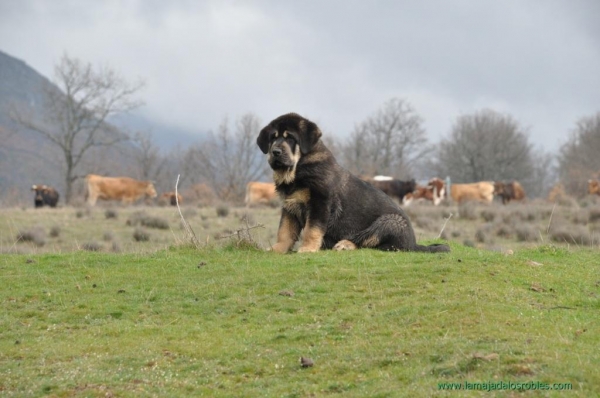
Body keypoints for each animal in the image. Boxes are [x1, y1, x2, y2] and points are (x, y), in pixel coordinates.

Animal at [254, 113, 450, 253]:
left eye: (290, 138)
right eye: (273, 138)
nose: (275, 152)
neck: (300, 167)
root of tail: (413, 244)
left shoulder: (319, 204)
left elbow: (312, 229)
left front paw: (307, 249)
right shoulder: (290, 206)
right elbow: (285, 231)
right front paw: (277, 249)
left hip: (390, 221)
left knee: (371, 242)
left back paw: (345, 245)